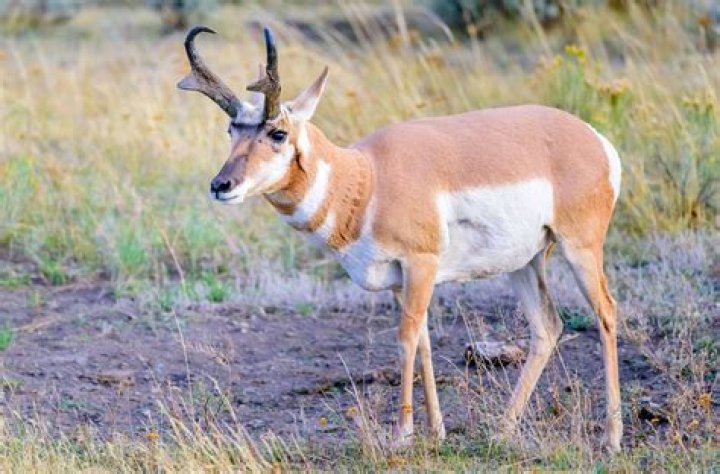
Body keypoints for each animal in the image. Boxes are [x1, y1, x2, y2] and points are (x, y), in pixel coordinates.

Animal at [178, 26, 623, 452]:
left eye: (278, 133)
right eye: (231, 128)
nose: (221, 185)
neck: (366, 177)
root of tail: (594, 138)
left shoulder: (421, 264)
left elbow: (406, 340)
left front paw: (402, 435)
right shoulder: (398, 280)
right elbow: (423, 342)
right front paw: (437, 433)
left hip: (580, 249)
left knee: (606, 312)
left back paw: (612, 437)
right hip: (523, 263)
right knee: (547, 327)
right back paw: (501, 432)